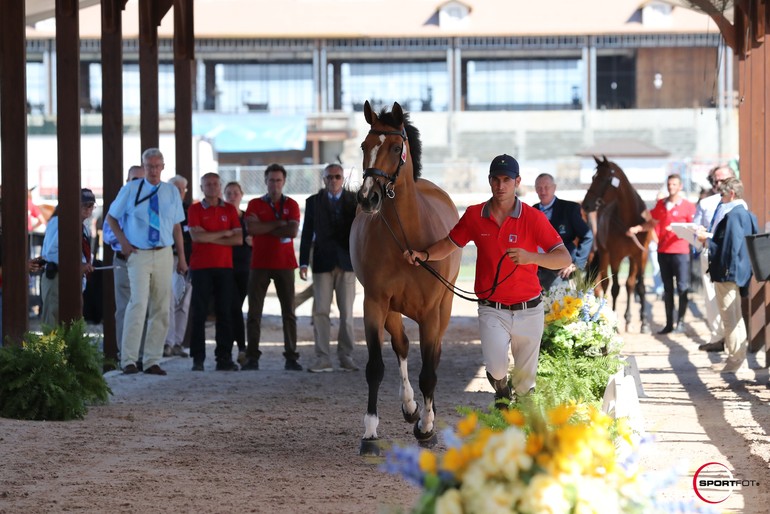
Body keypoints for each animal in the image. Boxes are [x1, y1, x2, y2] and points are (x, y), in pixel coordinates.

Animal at [350, 102, 462, 454]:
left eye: (396, 148)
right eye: (364, 146)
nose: (368, 198)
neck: (406, 236)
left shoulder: (430, 312)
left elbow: (429, 371)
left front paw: (427, 427)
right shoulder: (374, 304)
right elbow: (376, 366)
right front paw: (370, 432)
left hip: (444, 309)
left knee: (432, 359)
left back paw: (427, 415)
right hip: (392, 311)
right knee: (401, 345)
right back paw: (411, 406)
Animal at [584, 155, 648, 332]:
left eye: (603, 179)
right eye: (593, 177)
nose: (586, 204)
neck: (630, 219)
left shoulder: (640, 254)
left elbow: (639, 286)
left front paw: (644, 323)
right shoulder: (615, 256)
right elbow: (615, 288)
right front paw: (615, 323)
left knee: (630, 284)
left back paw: (628, 319)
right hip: (604, 255)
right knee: (605, 284)